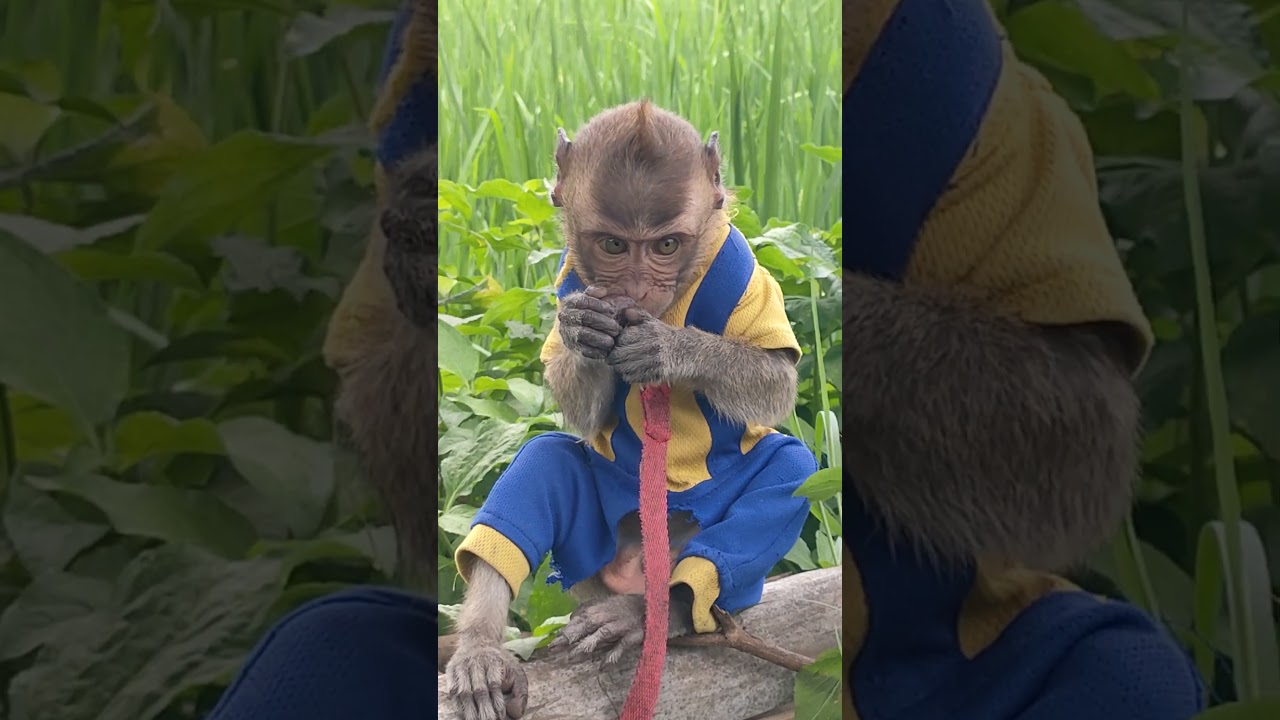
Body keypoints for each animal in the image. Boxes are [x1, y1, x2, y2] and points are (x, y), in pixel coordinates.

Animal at [442, 100, 820, 720]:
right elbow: (583, 413)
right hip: (590, 561)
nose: (638, 291)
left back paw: (655, 611)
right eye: (615, 247)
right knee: (543, 459)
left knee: (788, 472)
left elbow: (775, 383)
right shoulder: (567, 279)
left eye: (665, 246)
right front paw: (583, 332)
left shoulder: (748, 273)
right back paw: (480, 649)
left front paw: (667, 348)